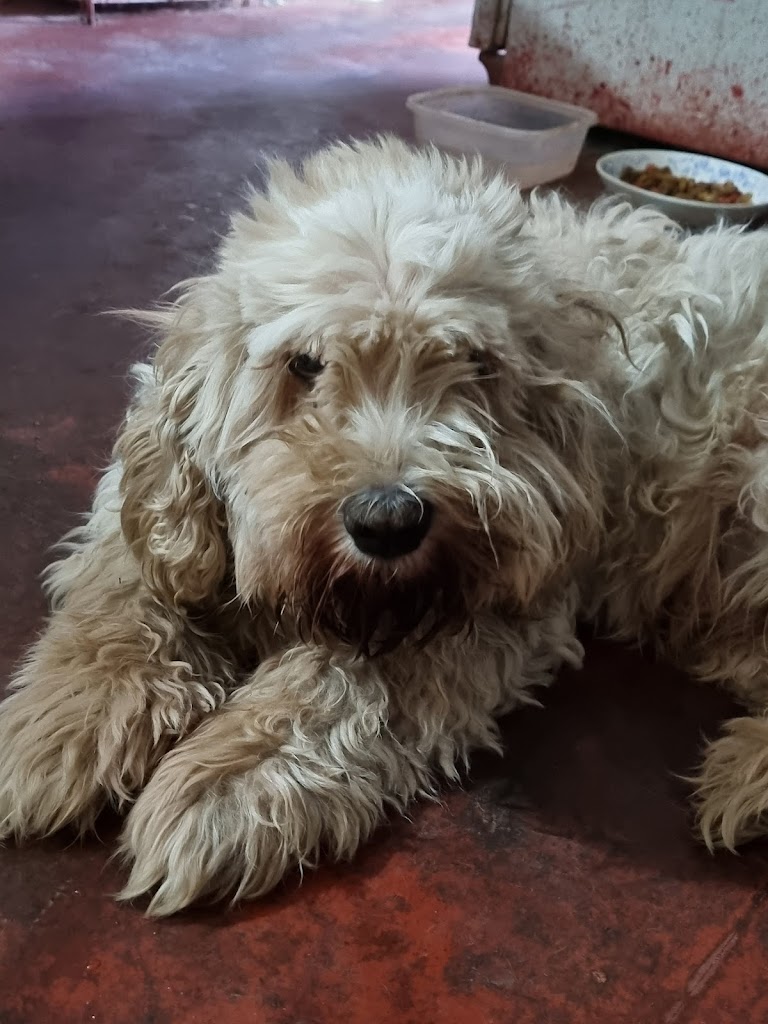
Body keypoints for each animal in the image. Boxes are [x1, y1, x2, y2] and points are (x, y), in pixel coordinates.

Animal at [2, 136, 768, 916]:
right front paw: (69, 724)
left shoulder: (513, 590)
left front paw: (235, 781)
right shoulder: (153, 507)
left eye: (475, 364)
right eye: (305, 364)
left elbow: (349, 678)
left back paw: (748, 776)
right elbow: (126, 595)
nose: (389, 522)